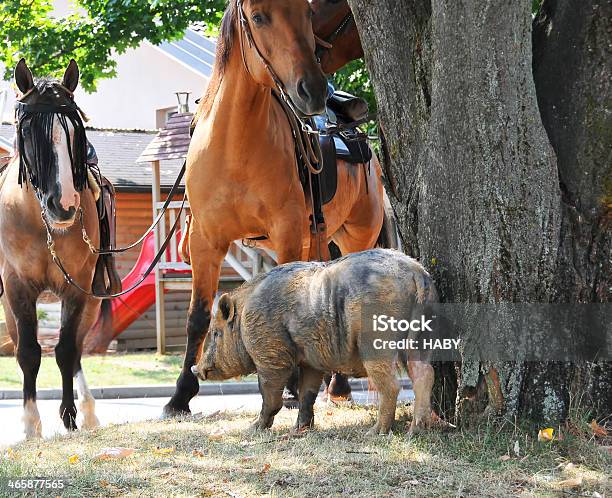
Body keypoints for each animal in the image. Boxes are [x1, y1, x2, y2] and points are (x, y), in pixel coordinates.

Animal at [0, 60, 100, 438]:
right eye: (29, 133)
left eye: (75, 132)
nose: (65, 205)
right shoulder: (17, 288)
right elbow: (28, 352)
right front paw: (31, 423)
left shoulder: (78, 288)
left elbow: (66, 350)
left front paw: (69, 416)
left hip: (92, 301)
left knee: (77, 350)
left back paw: (88, 411)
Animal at [165, 0, 384, 414]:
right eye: (258, 17)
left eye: (305, 11)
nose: (312, 89)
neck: (234, 144)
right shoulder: (205, 240)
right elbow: (198, 316)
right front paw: (181, 395)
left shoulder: (286, 231)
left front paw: (294, 386)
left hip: (354, 237)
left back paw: (336, 385)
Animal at [194, 249, 438, 436]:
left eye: (215, 333)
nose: (196, 369)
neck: (244, 315)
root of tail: (417, 273)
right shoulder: (310, 361)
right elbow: (307, 394)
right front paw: (299, 430)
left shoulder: (271, 356)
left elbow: (269, 395)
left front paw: (252, 428)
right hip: (421, 334)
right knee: (424, 373)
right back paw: (416, 431)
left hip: (376, 338)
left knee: (391, 384)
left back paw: (374, 433)